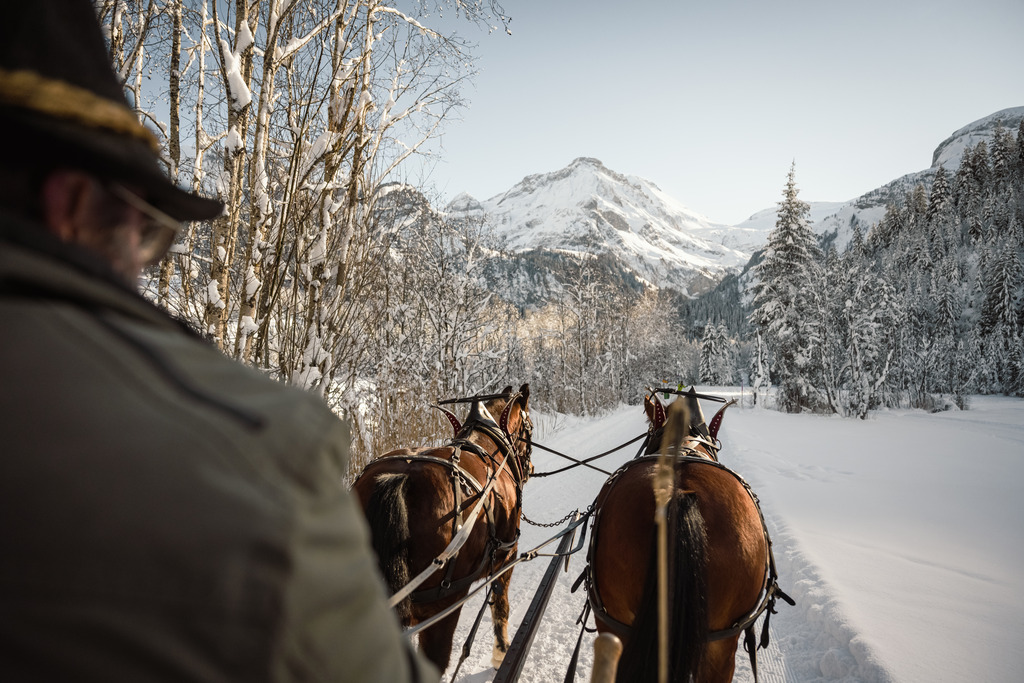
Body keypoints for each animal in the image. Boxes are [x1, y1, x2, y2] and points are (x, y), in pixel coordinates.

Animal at [354, 385, 536, 671]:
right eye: (530, 427)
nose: (531, 467)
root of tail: (399, 479)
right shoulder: (508, 556)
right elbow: (500, 606)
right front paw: (501, 653)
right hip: (442, 605)